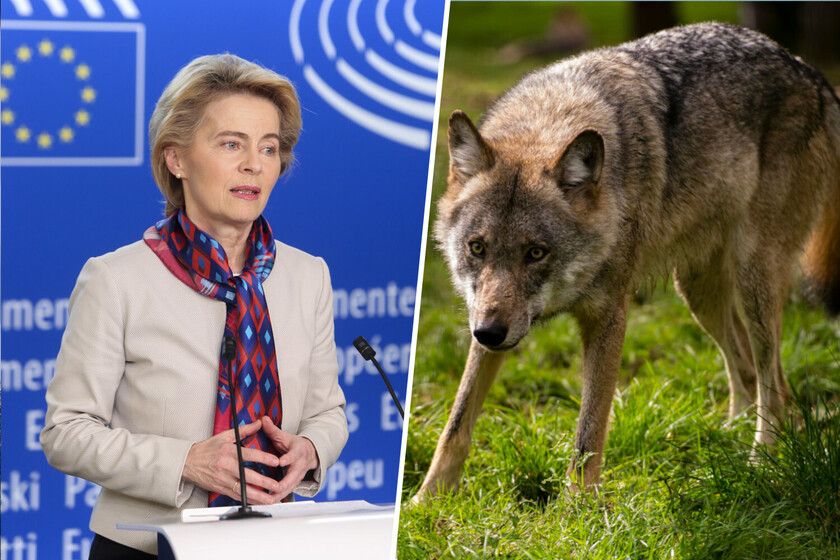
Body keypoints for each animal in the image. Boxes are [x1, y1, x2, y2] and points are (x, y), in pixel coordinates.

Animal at [414, 22, 840, 501]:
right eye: (477, 248)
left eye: (536, 252)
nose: (489, 332)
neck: (548, 120)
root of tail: (810, 72)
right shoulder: (486, 321)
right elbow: (456, 422)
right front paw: (425, 501)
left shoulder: (607, 319)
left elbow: (588, 432)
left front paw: (576, 508)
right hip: (697, 293)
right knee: (753, 373)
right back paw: (733, 437)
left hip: (754, 282)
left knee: (773, 382)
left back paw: (761, 462)